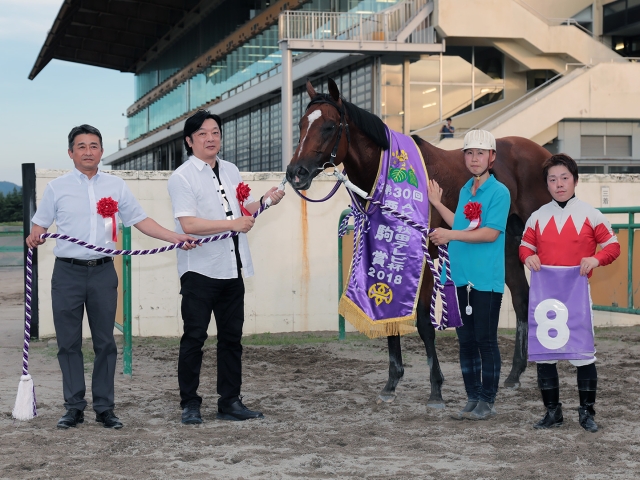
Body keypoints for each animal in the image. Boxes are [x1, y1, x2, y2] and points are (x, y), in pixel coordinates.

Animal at [284, 78, 552, 404]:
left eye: (329, 126)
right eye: (301, 124)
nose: (295, 173)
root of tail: (544, 155)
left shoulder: (425, 255)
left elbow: (424, 321)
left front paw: (436, 386)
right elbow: (388, 316)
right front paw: (391, 382)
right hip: (507, 246)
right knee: (521, 297)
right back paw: (514, 374)